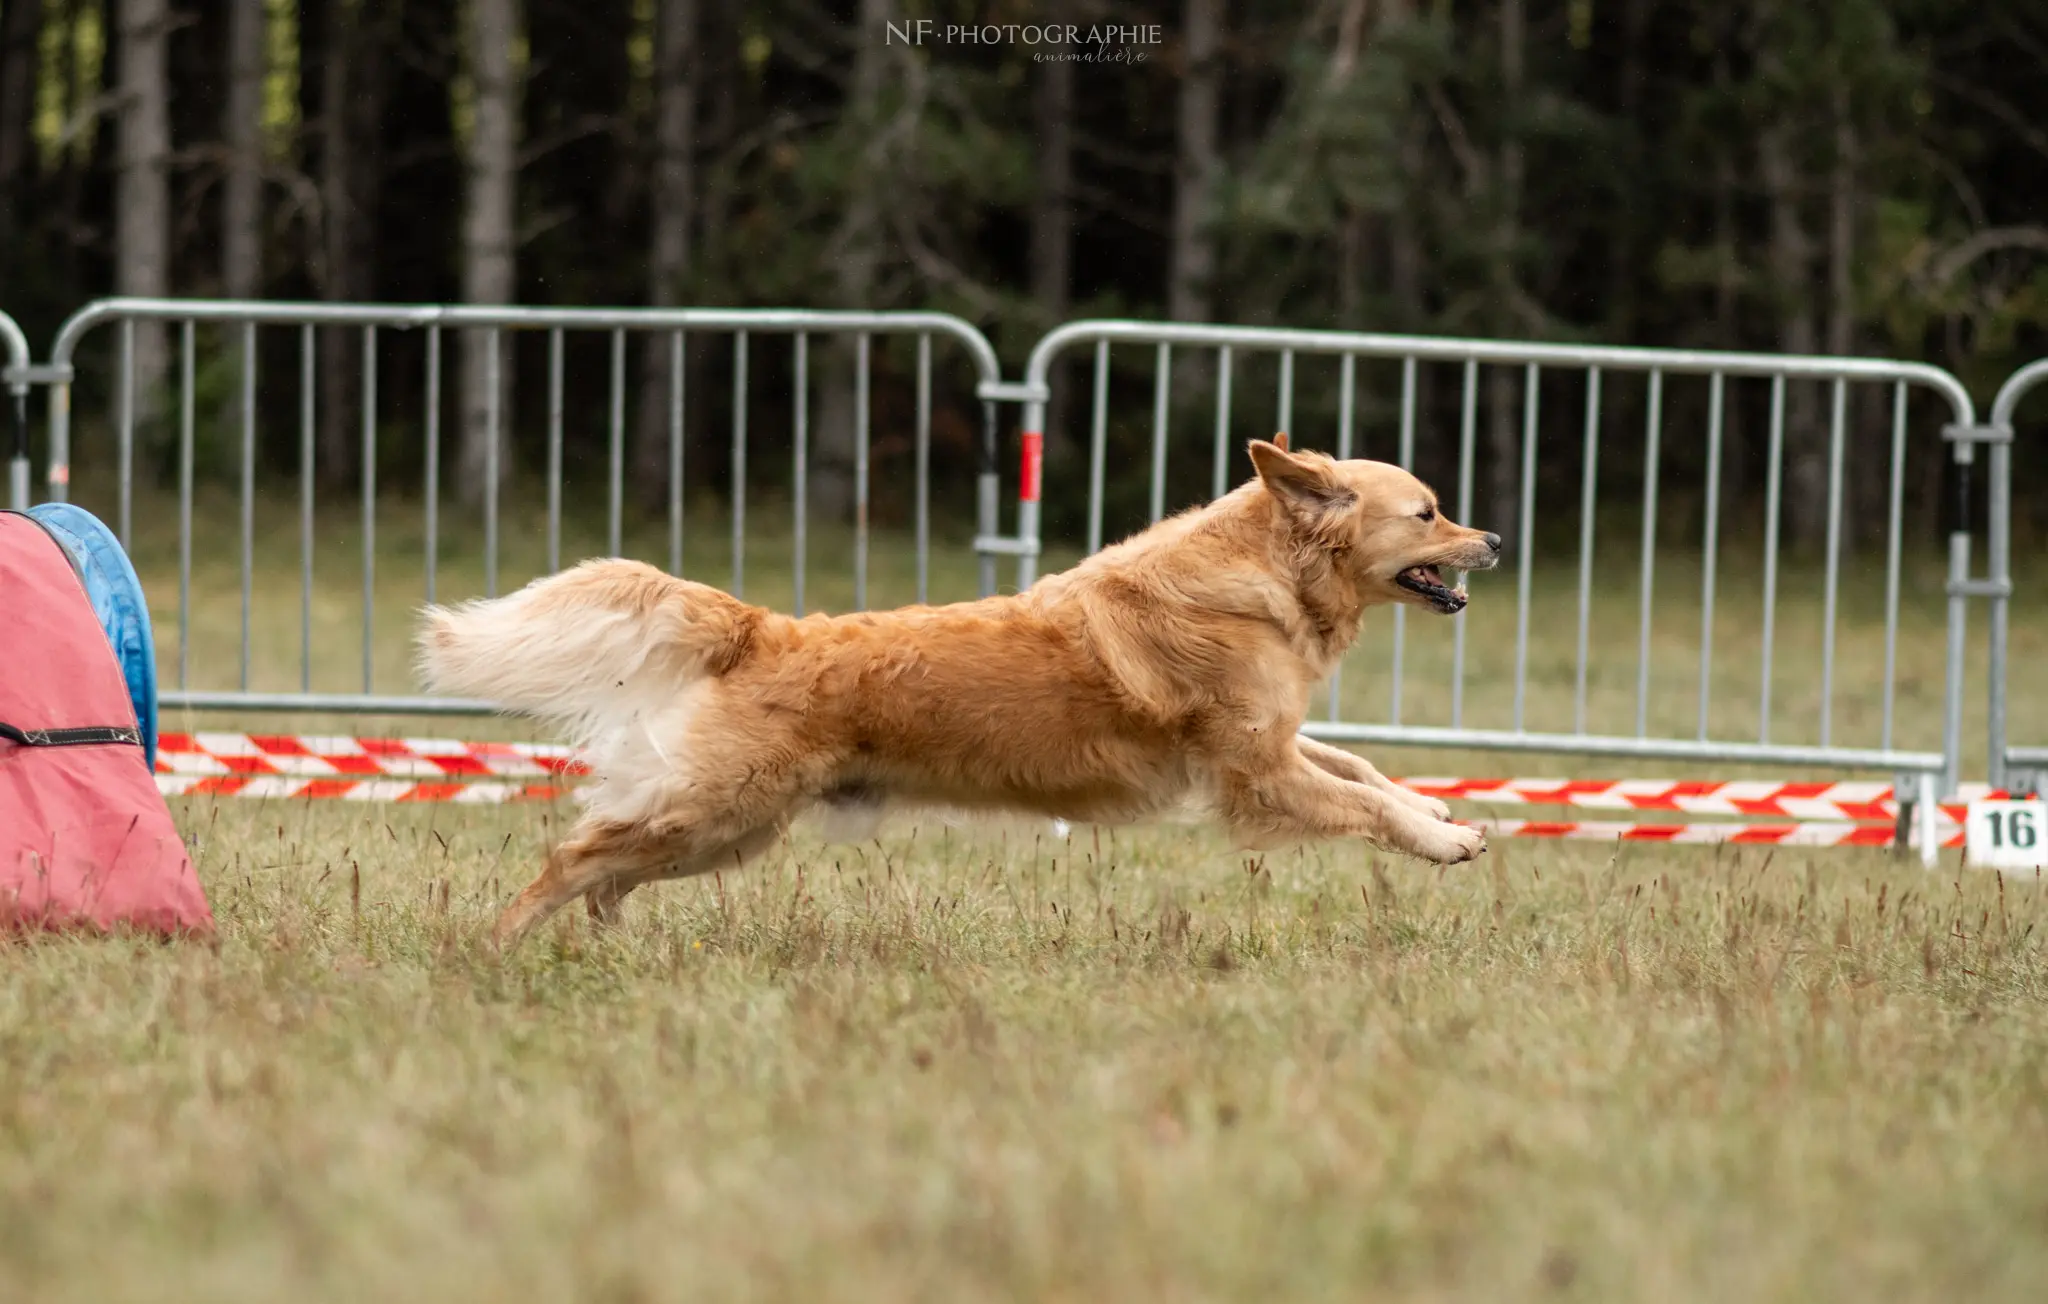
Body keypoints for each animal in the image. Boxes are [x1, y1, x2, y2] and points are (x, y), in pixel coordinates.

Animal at [419, 438, 1507, 945]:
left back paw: (608, 947)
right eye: (1427, 512)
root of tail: (763, 626)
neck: (1268, 574)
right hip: (715, 807)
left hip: (728, 829)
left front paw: (1445, 811)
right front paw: (1444, 841)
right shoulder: (1255, 769)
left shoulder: (1273, 741)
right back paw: (493, 948)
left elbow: (1363, 766)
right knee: (573, 856)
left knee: (606, 871)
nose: (1494, 538)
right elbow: (1359, 800)